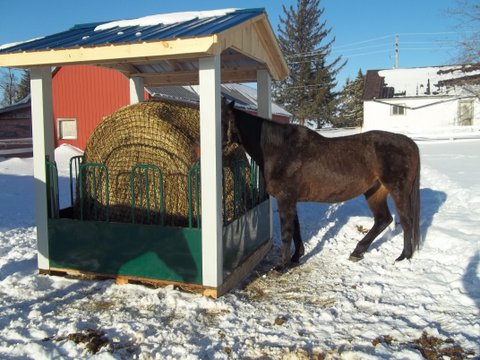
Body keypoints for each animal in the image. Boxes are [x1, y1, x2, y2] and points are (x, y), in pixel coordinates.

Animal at [221, 100, 420, 268]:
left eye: (223, 121)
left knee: (406, 220)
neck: (280, 151)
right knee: (383, 220)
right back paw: (357, 252)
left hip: (398, 190)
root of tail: (407, 142)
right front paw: (296, 257)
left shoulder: (285, 199)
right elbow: (296, 230)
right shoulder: (291, 200)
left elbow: (286, 232)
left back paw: (404, 256)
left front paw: (281, 266)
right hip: (375, 191)